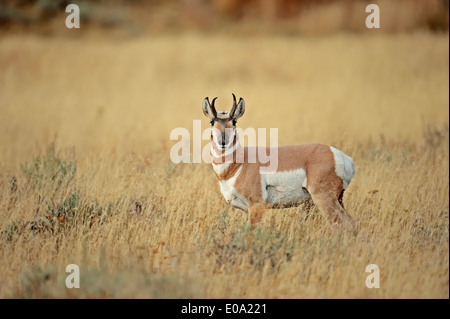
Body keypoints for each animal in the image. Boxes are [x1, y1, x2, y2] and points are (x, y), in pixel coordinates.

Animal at [203, 94, 356, 229]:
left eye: (234, 121)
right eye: (212, 122)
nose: (223, 142)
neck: (240, 163)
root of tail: (341, 156)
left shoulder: (257, 206)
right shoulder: (246, 210)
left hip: (324, 200)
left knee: (338, 226)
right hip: (338, 200)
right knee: (352, 223)